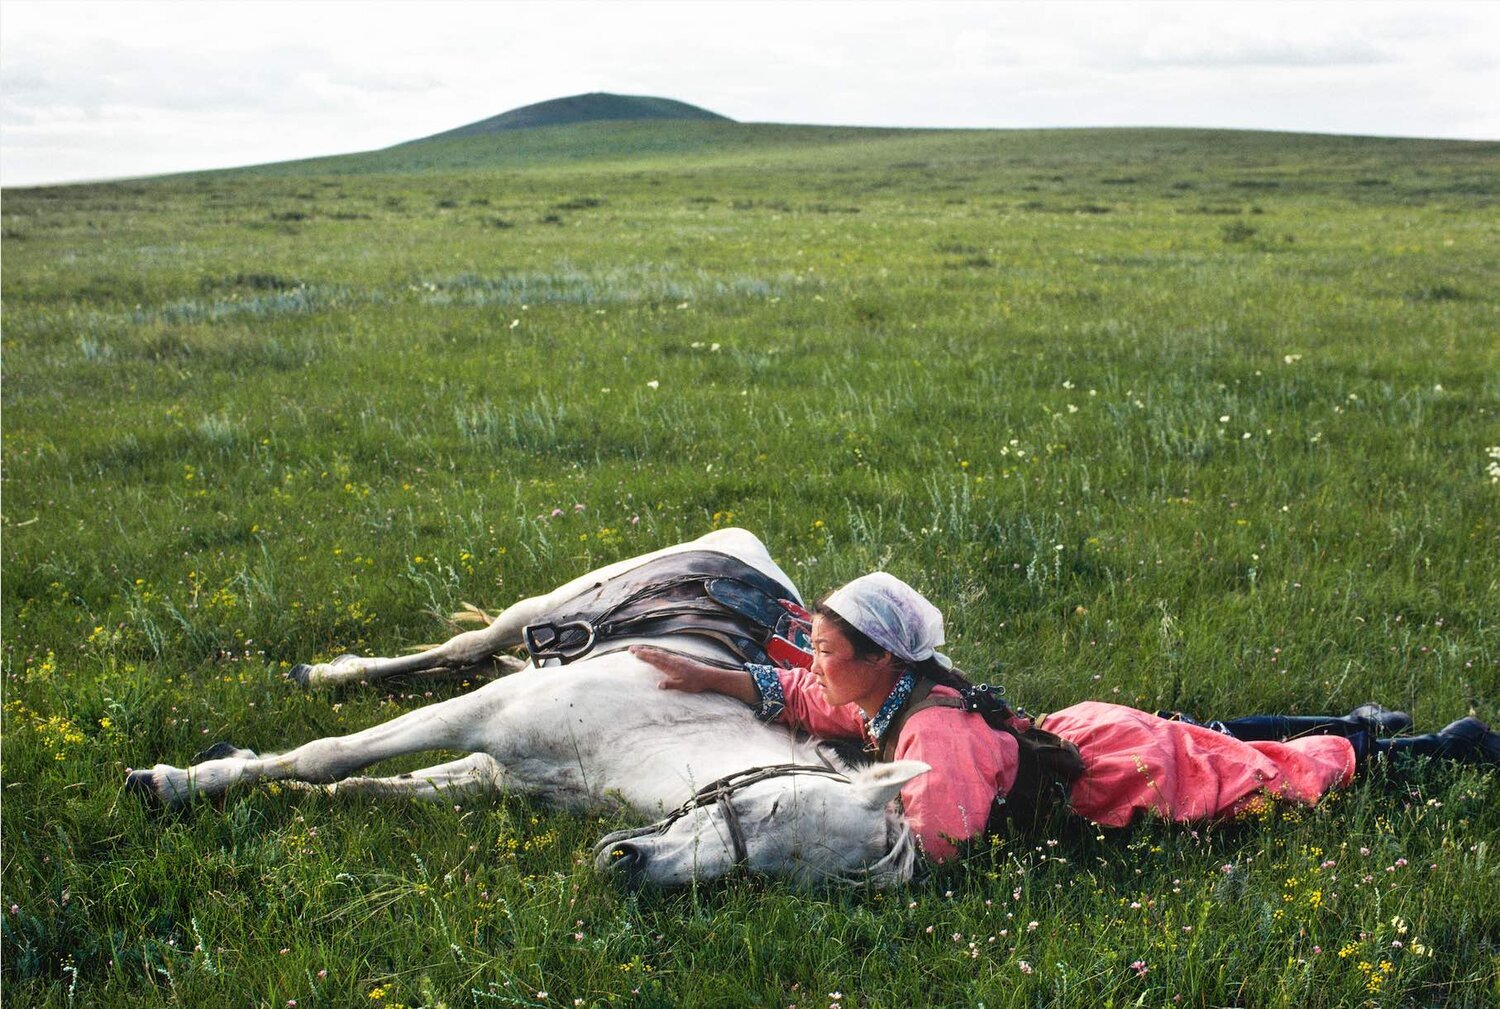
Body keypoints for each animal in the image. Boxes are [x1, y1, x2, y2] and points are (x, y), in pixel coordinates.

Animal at [129, 530, 924, 887]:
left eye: (763, 877)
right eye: (768, 809)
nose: (627, 863)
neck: (650, 731)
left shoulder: (497, 770)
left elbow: (376, 785)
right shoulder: (479, 714)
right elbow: (331, 755)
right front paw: (171, 781)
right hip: (538, 609)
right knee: (465, 645)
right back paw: (324, 672)